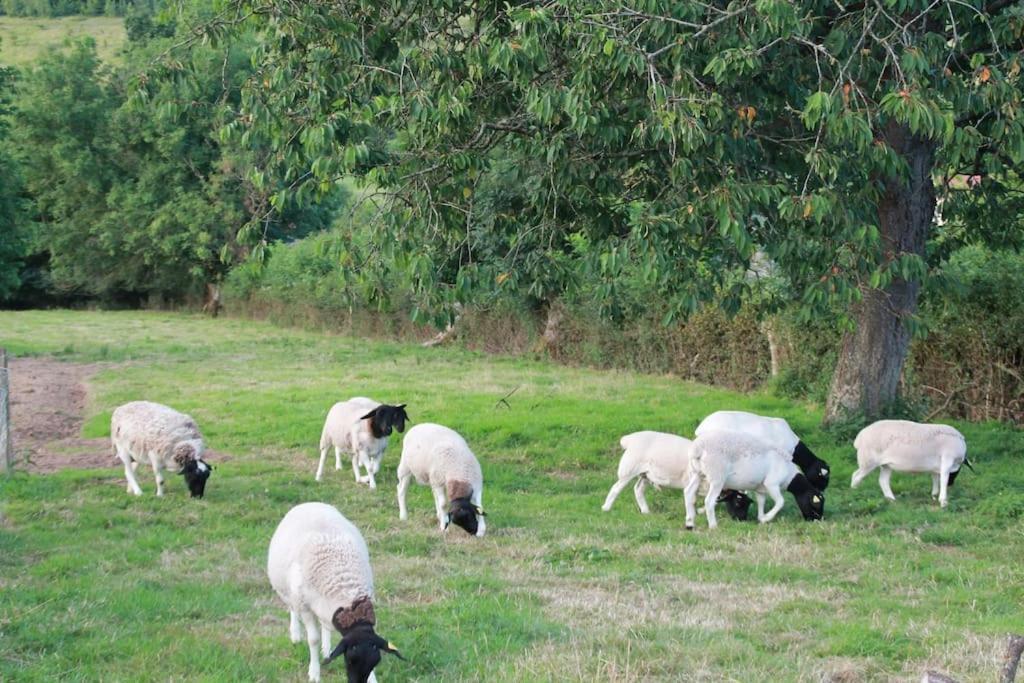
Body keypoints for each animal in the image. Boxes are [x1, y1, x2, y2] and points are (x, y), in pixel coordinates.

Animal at [268, 501, 403, 683]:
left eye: (375, 662)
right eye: (350, 660)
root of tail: (310, 502)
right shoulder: (304, 606)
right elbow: (313, 639)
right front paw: (314, 673)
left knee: (325, 623)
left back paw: (326, 649)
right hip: (289, 591)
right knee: (292, 609)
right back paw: (295, 635)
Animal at [598, 430, 753, 520]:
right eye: (738, 503)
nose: (743, 520)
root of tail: (629, 439)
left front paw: (697, 512)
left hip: (646, 474)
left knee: (638, 489)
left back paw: (646, 511)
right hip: (629, 468)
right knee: (616, 488)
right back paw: (606, 508)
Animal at [684, 430, 827, 532]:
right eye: (816, 504)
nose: (818, 521)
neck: (789, 475)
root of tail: (698, 448)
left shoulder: (761, 488)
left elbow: (761, 502)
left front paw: (761, 518)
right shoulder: (772, 484)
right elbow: (781, 502)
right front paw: (767, 518)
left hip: (697, 473)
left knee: (688, 493)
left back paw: (690, 523)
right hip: (716, 476)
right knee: (709, 501)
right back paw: (713, 525)